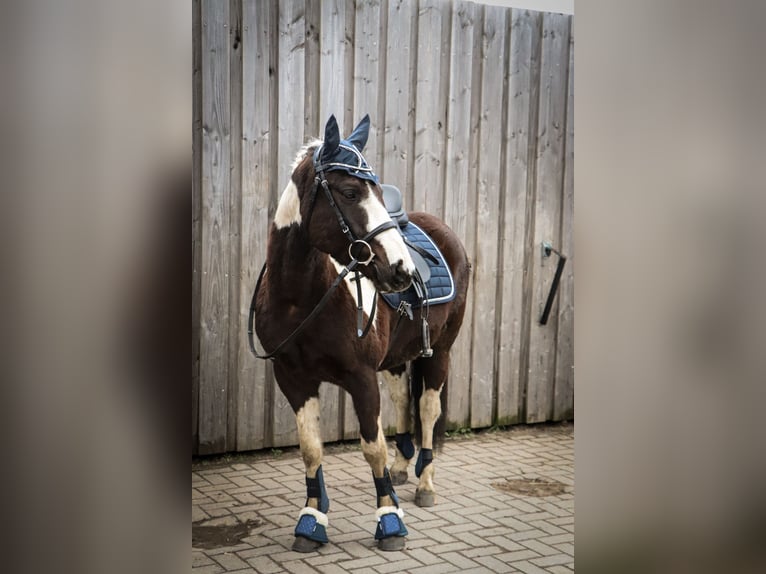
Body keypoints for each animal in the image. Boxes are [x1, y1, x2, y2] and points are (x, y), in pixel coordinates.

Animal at [249, 116, 472, 552]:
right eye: (350, 192)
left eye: (378, 192)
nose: (402, 271)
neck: (301, 299)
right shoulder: (292, 378)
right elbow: (311, 448)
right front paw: (311, 520)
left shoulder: (361, 377)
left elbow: (372, 447)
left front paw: (390, 521)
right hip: (398, 358)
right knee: (404, 401)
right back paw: (402, 468)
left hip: (440, 351)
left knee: (427, 409)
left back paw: (425, 484)